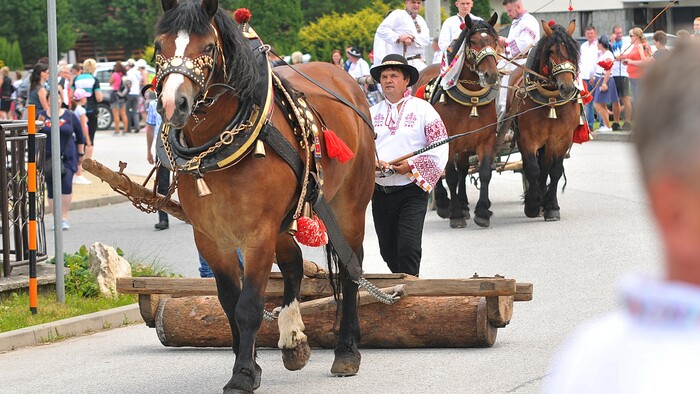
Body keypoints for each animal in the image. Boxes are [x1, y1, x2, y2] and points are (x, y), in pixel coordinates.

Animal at [154, 1, 378, 392]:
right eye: (159, 45)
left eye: (208, 47)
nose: (173, 103)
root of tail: (345, 80)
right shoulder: (211, 238)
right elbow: (229, 302)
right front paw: (251, 362)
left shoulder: (258, 233)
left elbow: (249, 305)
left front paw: (243, 373)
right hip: (284, 221)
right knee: (294, 265)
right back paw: (293, 340)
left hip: (348, 206)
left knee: (351, 268)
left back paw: (347, 350)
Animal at [412, 13, 500, 228]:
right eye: (473, 42)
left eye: (495, 41)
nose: (491, 75)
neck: (471, 99)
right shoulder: (448, 141)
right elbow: (450, 175)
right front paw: (455, 214)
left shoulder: (486, 139)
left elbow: (484, 173)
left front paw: (482, 212)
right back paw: (445, 203)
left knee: (462, 169)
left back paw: (463, 203)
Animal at [508, 20, 580, 222]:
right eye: (552, 51)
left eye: (574, 50)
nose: (566, 87)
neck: (551, 100)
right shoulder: (526, 138)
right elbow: (532, 168)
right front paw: (532, 204)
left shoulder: (562, 139)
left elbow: (554, 170)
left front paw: (551, 206)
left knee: (546, 166)